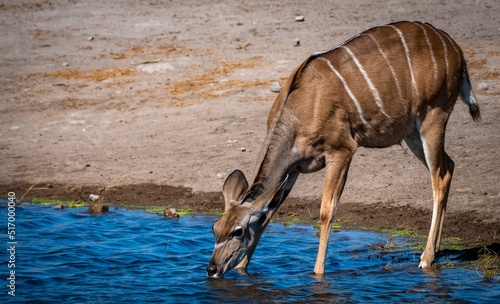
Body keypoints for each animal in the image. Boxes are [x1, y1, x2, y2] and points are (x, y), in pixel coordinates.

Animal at [206, 21, 480, 278]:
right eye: (215, 228)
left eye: (237, 231)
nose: (212, 269)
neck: (300, 106)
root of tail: (455, 49)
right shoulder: (293, 169)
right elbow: (269, 213)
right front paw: (242, 269)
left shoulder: (341, 150)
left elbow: (327, 211)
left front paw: (318, 274)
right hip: (412, 132)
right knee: (449, 166)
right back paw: (435, 251)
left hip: (434, 117)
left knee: (439, 177)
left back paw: (426, 258)